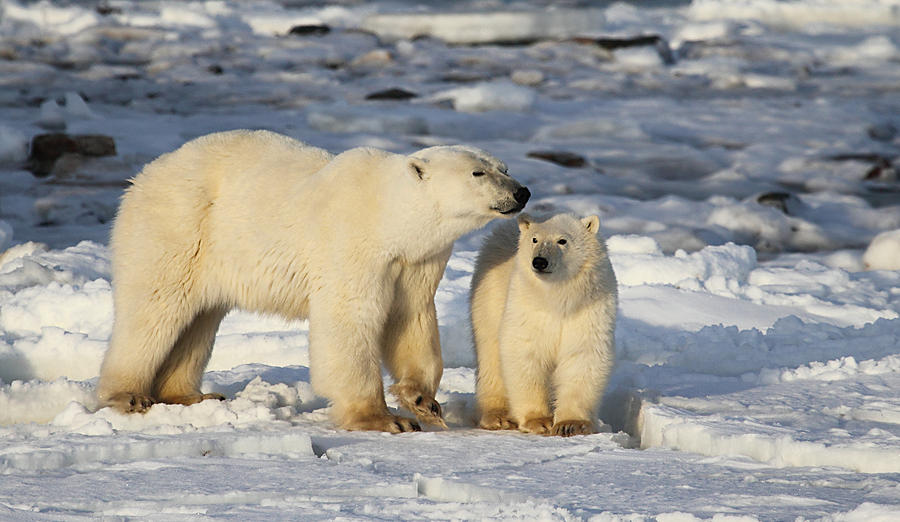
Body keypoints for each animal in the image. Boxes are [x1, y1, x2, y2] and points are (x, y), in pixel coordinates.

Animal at [93, 129, 528, 430]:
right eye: (478, 172)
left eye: (504, 168)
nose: (521, 192)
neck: (388, 215)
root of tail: (145, 174)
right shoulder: (350, 243)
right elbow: (350, 320)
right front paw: (384, 419)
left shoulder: (417, 261)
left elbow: (411, 318)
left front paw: (422, 401)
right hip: (179, 227)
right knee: (155, 308)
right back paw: (128, 396)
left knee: (199, 319)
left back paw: (190, 396)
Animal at [472, 211, 620, 434]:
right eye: (535, 239)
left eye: (562, 240)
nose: (540, 261)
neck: (558, 298)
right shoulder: (527, 307)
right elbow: (526, 353)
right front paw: (539, 420)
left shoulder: (589, 308)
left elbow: (582, 356)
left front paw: (571, 424)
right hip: (489, 296)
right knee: (490, 354)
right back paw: (498, 416)